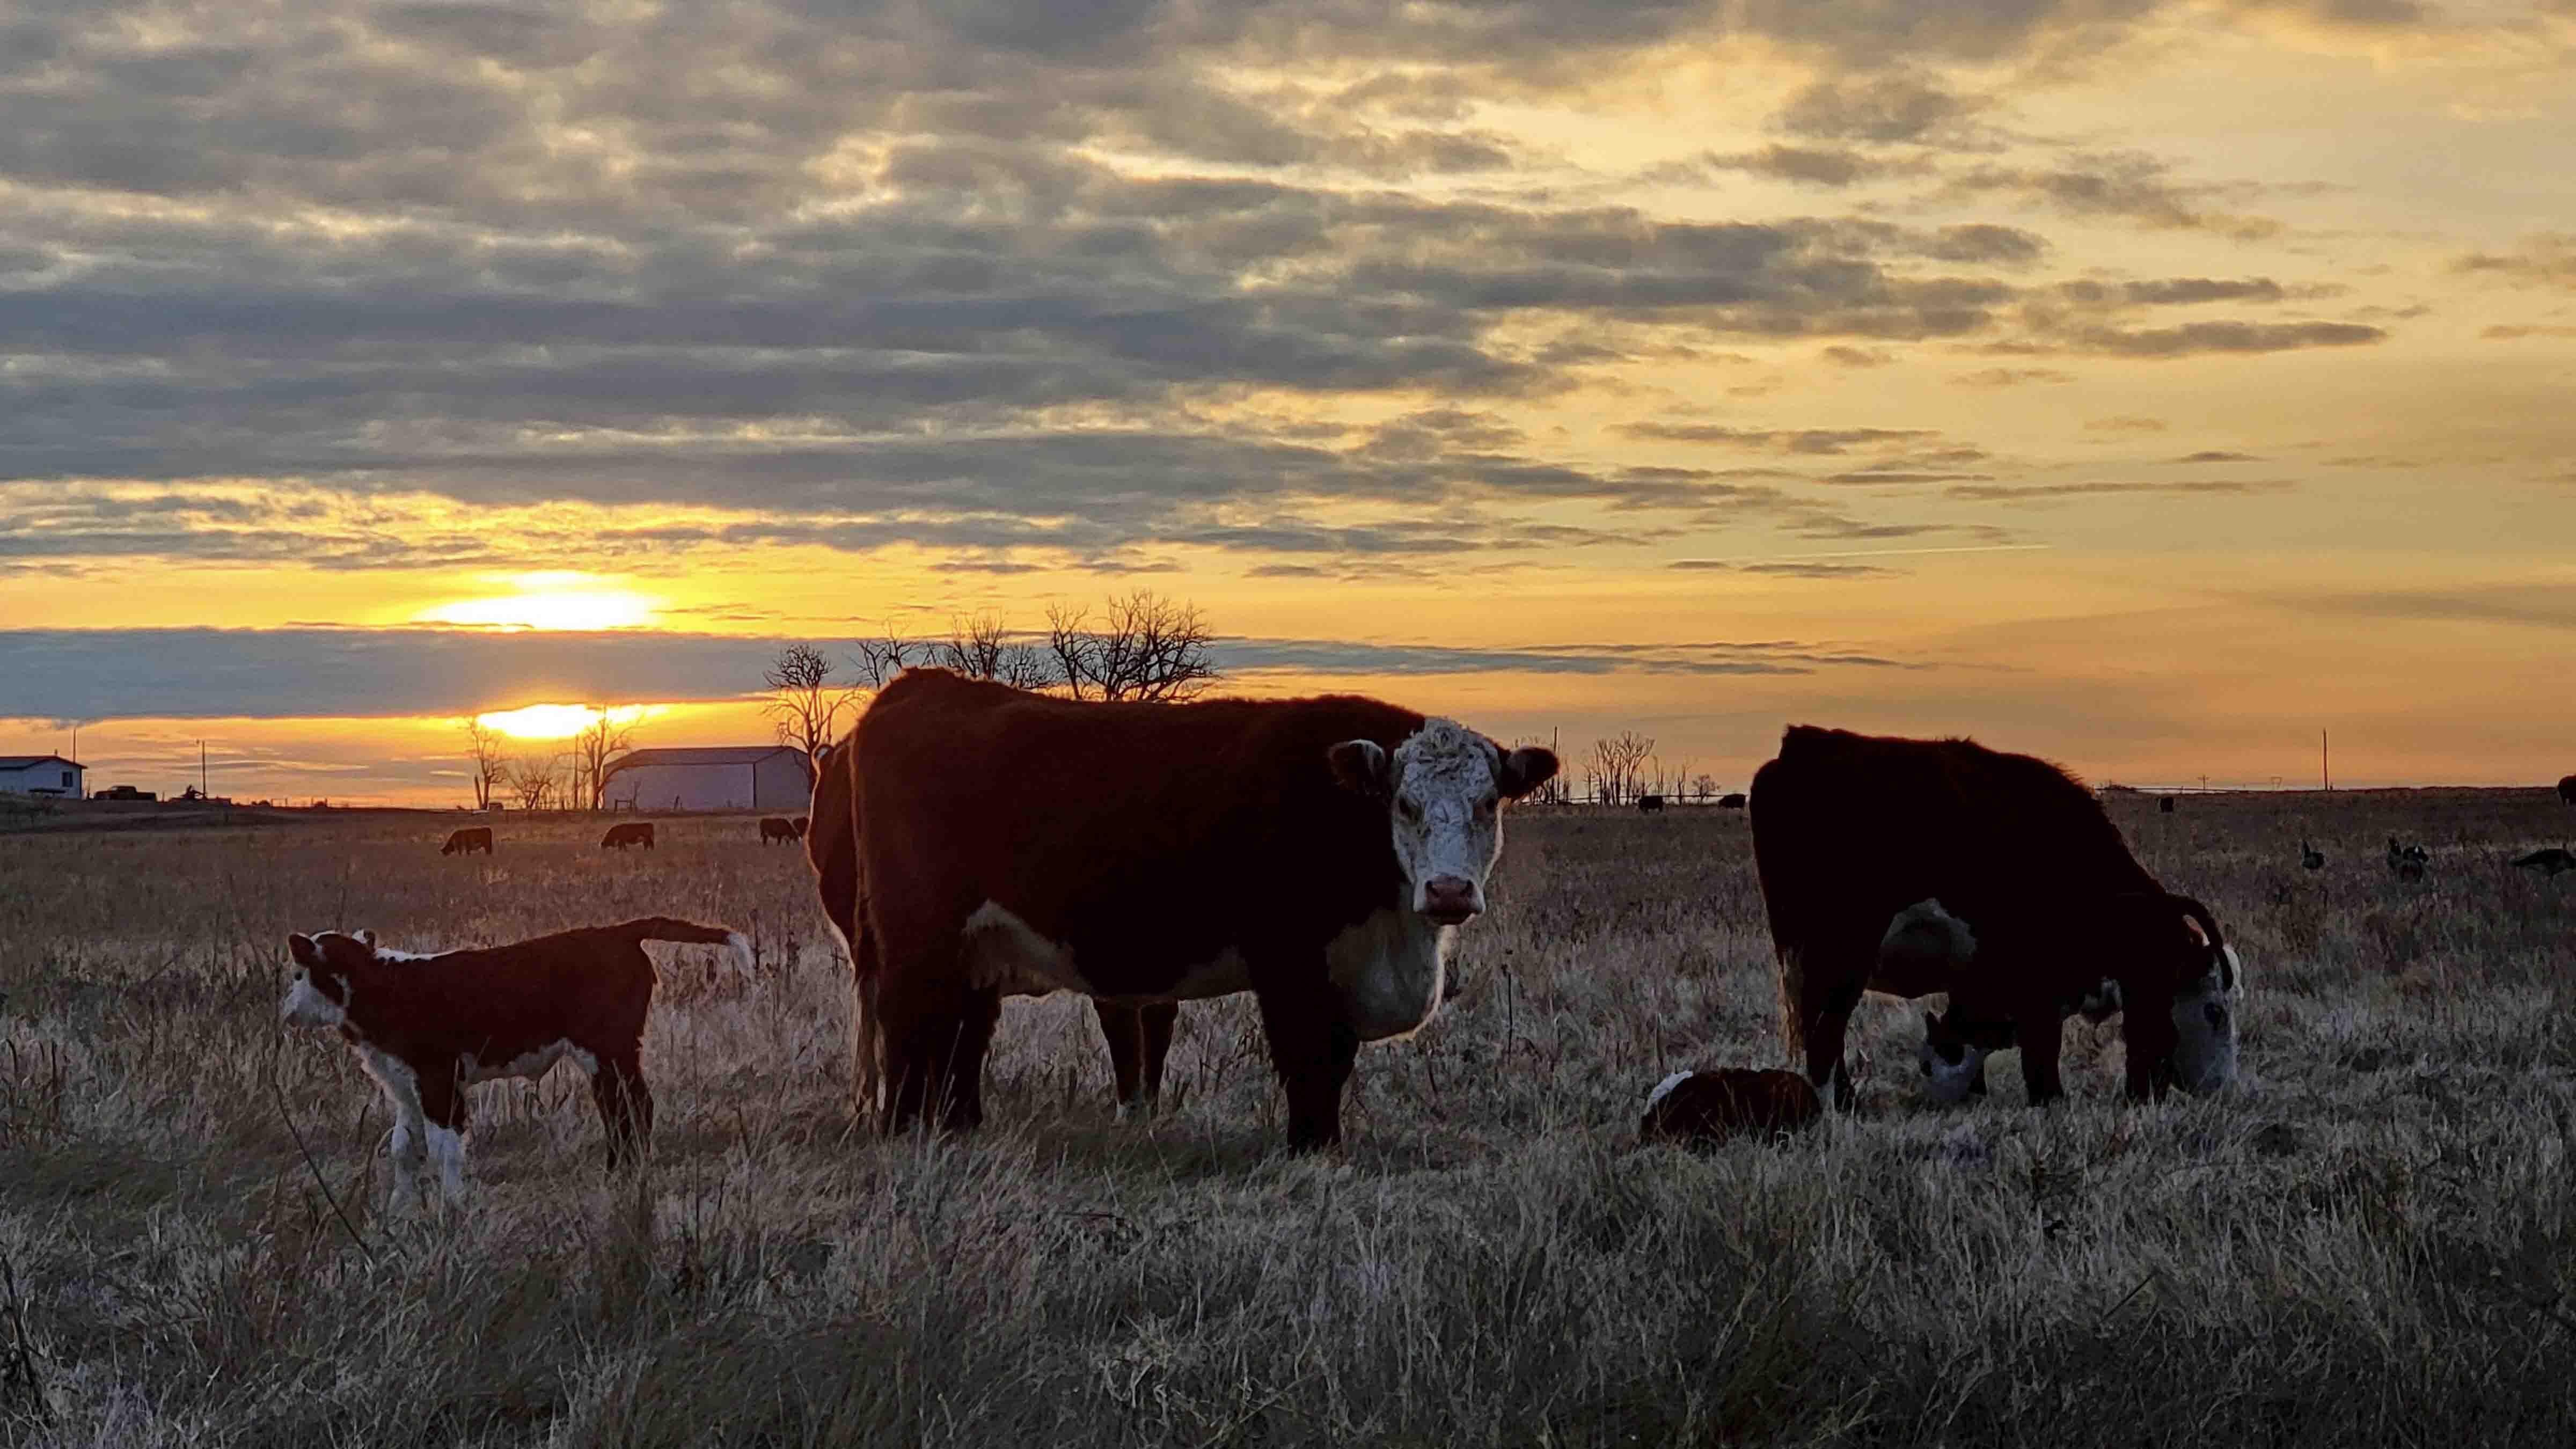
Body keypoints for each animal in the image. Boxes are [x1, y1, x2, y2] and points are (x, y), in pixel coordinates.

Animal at [282, 912, 752, 1206]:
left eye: (299, 973)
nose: (286, 1013)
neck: (383, 987)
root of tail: (619, 932)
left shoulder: (440, 1081)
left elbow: (444, 1149)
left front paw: (453, 1209)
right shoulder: (404, 1087)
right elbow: (403, 1149)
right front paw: (398, 1212)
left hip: (608, 1051)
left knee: (629, 1109)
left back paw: (620, 1177)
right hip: (611, 1056)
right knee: (625, 1109)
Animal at [835, 660, 1546, 1145]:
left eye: (1489, 804)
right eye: (1405, 804)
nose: (1449, 890)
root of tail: (923, 686)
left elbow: (1335, 1063)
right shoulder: (1289, 962)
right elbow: (1310, 1061)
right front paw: (1311, 1151)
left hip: (970, 950)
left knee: (952, 1035)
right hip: (916, 937)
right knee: (907, 1027)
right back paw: (902, 1131)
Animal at [1741, 722, 2246, 1103]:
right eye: (2214, 1011)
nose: (2223, 1087)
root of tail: (1801, 747)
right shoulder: (2039, 985)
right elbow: (2043, 1057)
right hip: (1840, 957)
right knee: (1825, 1035)